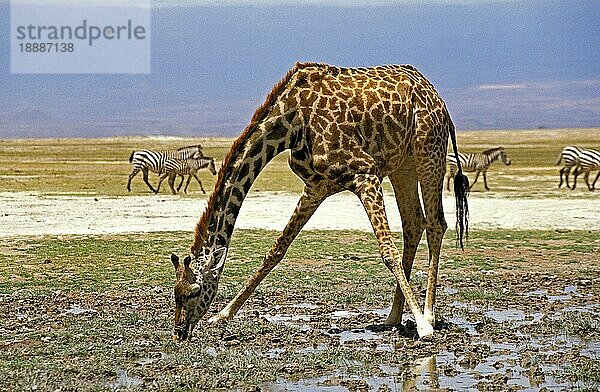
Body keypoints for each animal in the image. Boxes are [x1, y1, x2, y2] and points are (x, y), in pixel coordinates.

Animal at [169, 61, 468, 340]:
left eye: (194, 291)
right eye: (175, 292)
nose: (179, 331)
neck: (292, 122)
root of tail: (436, 95)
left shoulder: (365, 173)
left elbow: (387, 251)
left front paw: (423, 326)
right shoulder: (316, 186)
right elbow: (276, 250)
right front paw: (223, 314)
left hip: (428, 151)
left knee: (436, 223)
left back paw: (427, 314)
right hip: (402, 164)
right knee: (414, 223)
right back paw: (393, 316)